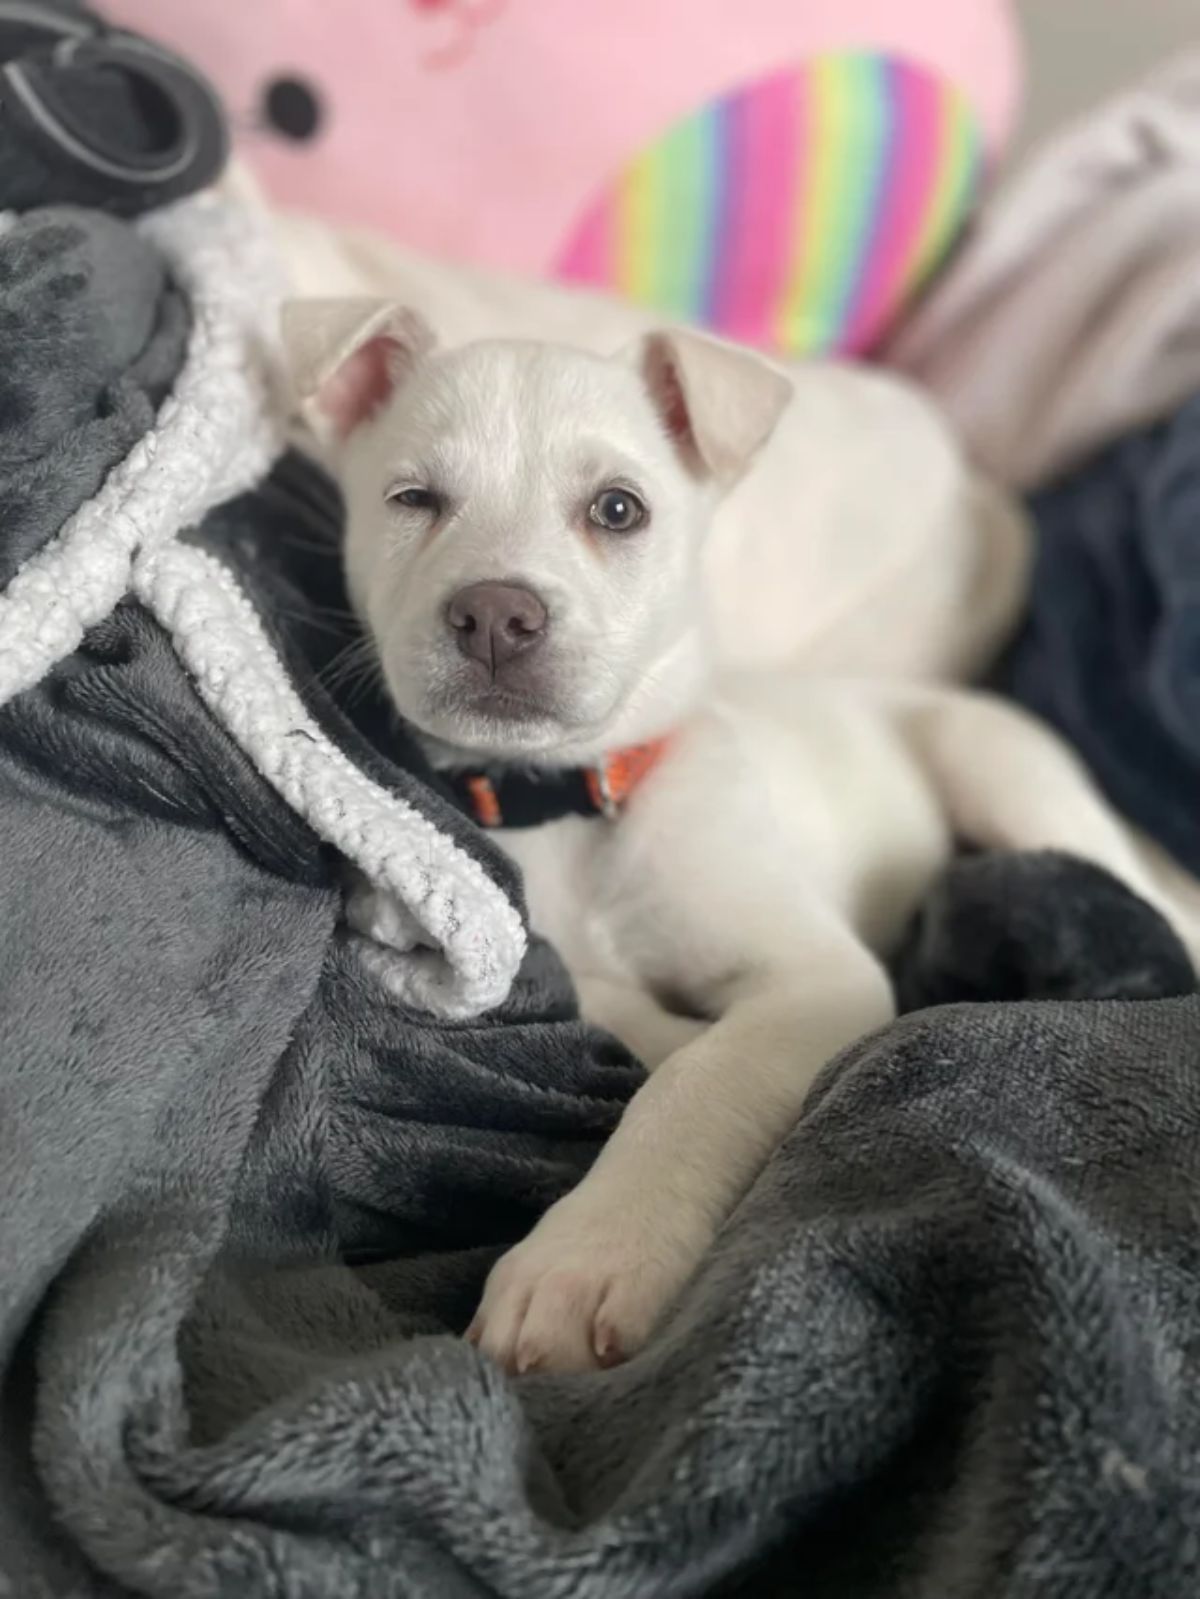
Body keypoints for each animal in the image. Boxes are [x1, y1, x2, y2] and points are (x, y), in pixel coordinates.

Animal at [284, 300, 1200, 1375]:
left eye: (618, 510)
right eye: (414, 498)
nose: (496, 615)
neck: (579, 806)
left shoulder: (814, 971)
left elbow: (699, 1079)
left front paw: (588, 1255)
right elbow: (616, 1006)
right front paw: (657, 1029)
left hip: (1005, 773)